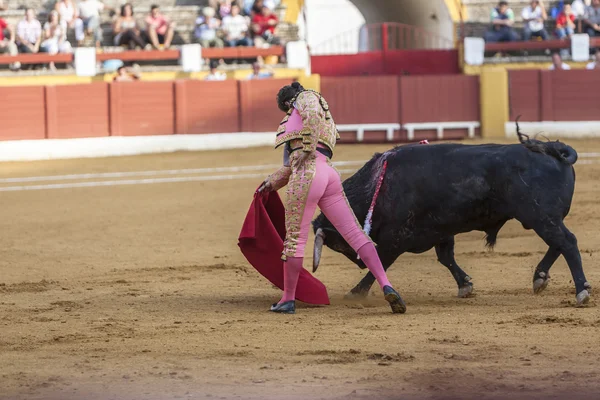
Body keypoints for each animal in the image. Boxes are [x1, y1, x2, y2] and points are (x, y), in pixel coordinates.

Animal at [312, 130, 592, 308]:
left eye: (338, 245)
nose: (359, 261)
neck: (377, 186)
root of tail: (554, 149)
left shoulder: (395, 239)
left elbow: (381, 262)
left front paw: (356, 292)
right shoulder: (440, 231)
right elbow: (445, 257)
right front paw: (465, 285)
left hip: (541, 216)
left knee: (567, 242)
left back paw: (581, 291)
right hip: (544, 218)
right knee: (558, 243)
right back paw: (540, 278)